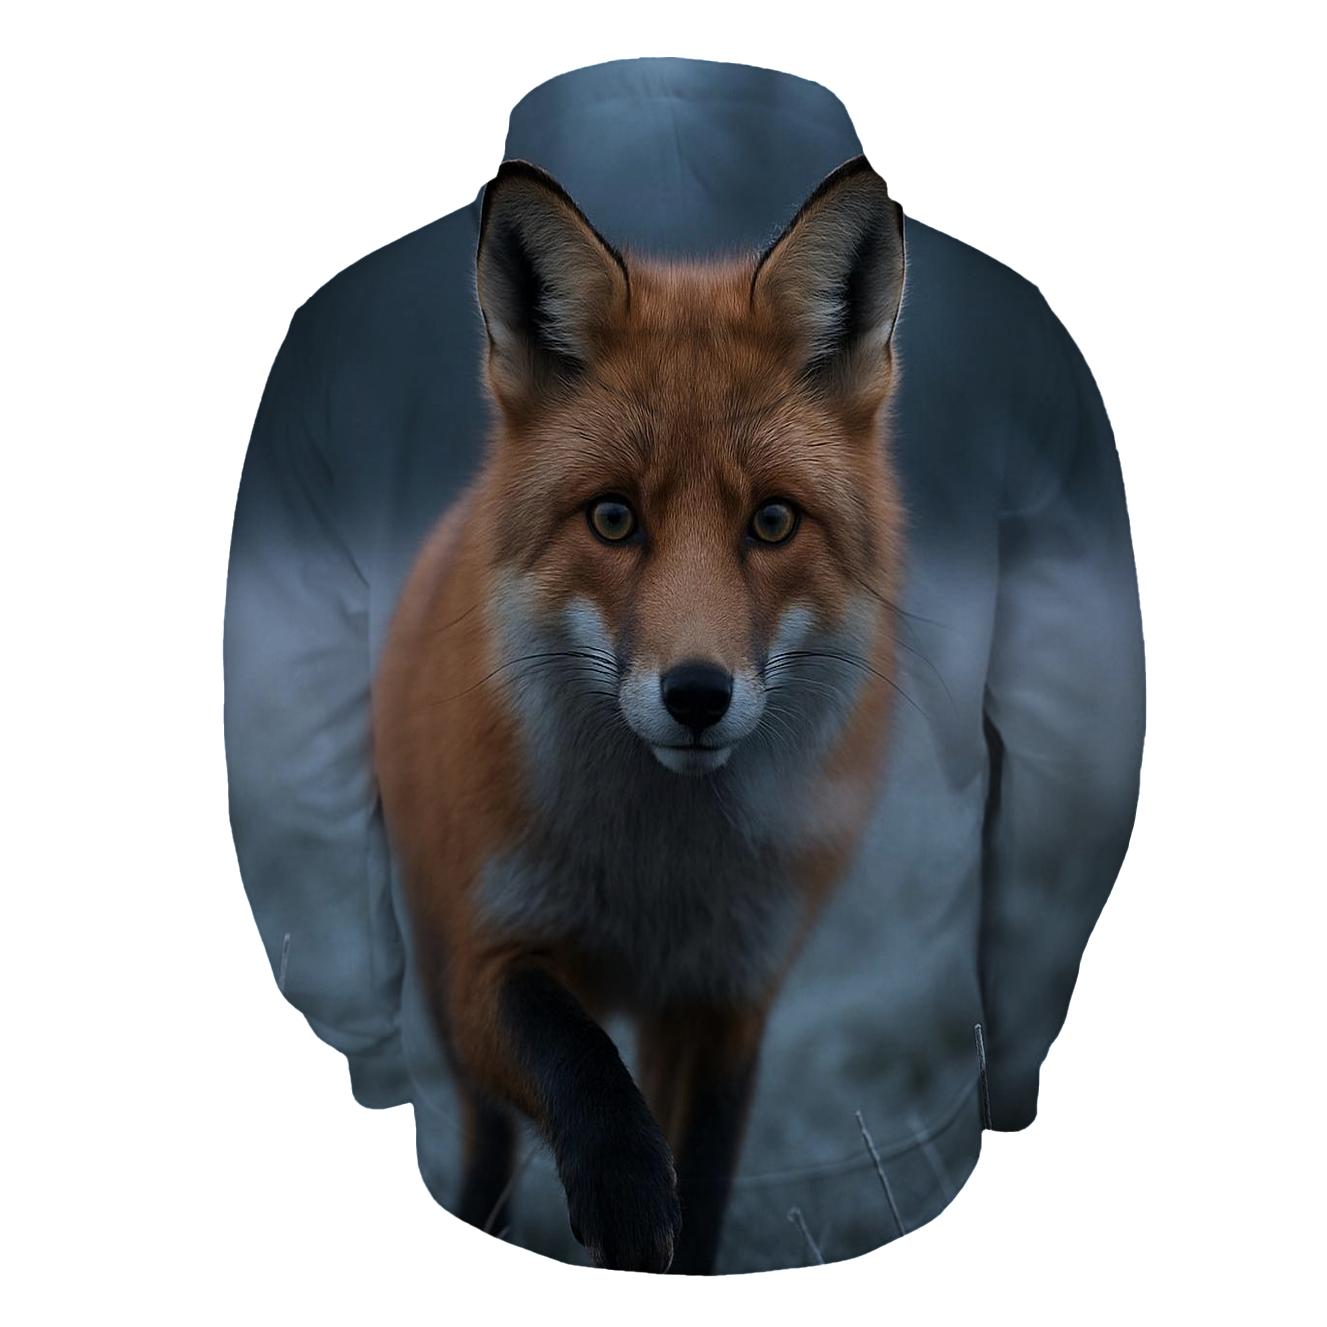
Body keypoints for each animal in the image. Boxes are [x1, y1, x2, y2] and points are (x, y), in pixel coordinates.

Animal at [372, 153, 907, 1274]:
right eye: (613, 518)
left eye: (772, 520)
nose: (696, 694)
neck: (657, 877)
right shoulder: (490, 951)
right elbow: (575, 1058)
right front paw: (619, 1186)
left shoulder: (726, 999)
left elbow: (696, 1192)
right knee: (488, 1140)